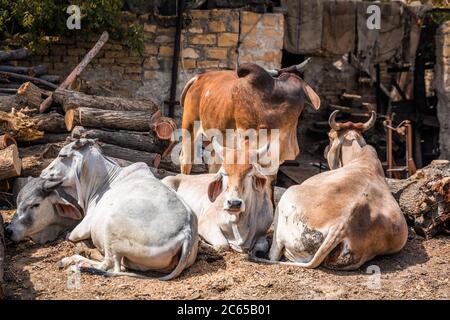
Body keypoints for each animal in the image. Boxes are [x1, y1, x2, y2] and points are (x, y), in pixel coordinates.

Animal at [37, 139, 200, 278]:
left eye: (62, 155)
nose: (42, 173)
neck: (102, 182)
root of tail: (187, 232)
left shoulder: (83, 227)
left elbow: (69, 236)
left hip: (111, 227)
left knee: (108, 265)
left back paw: (73, 262)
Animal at [255, 111, 410, 268]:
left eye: (330, 136)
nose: (325, 151)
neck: (361, 158)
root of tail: (340, 226)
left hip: (286, 202)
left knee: (274, 252)